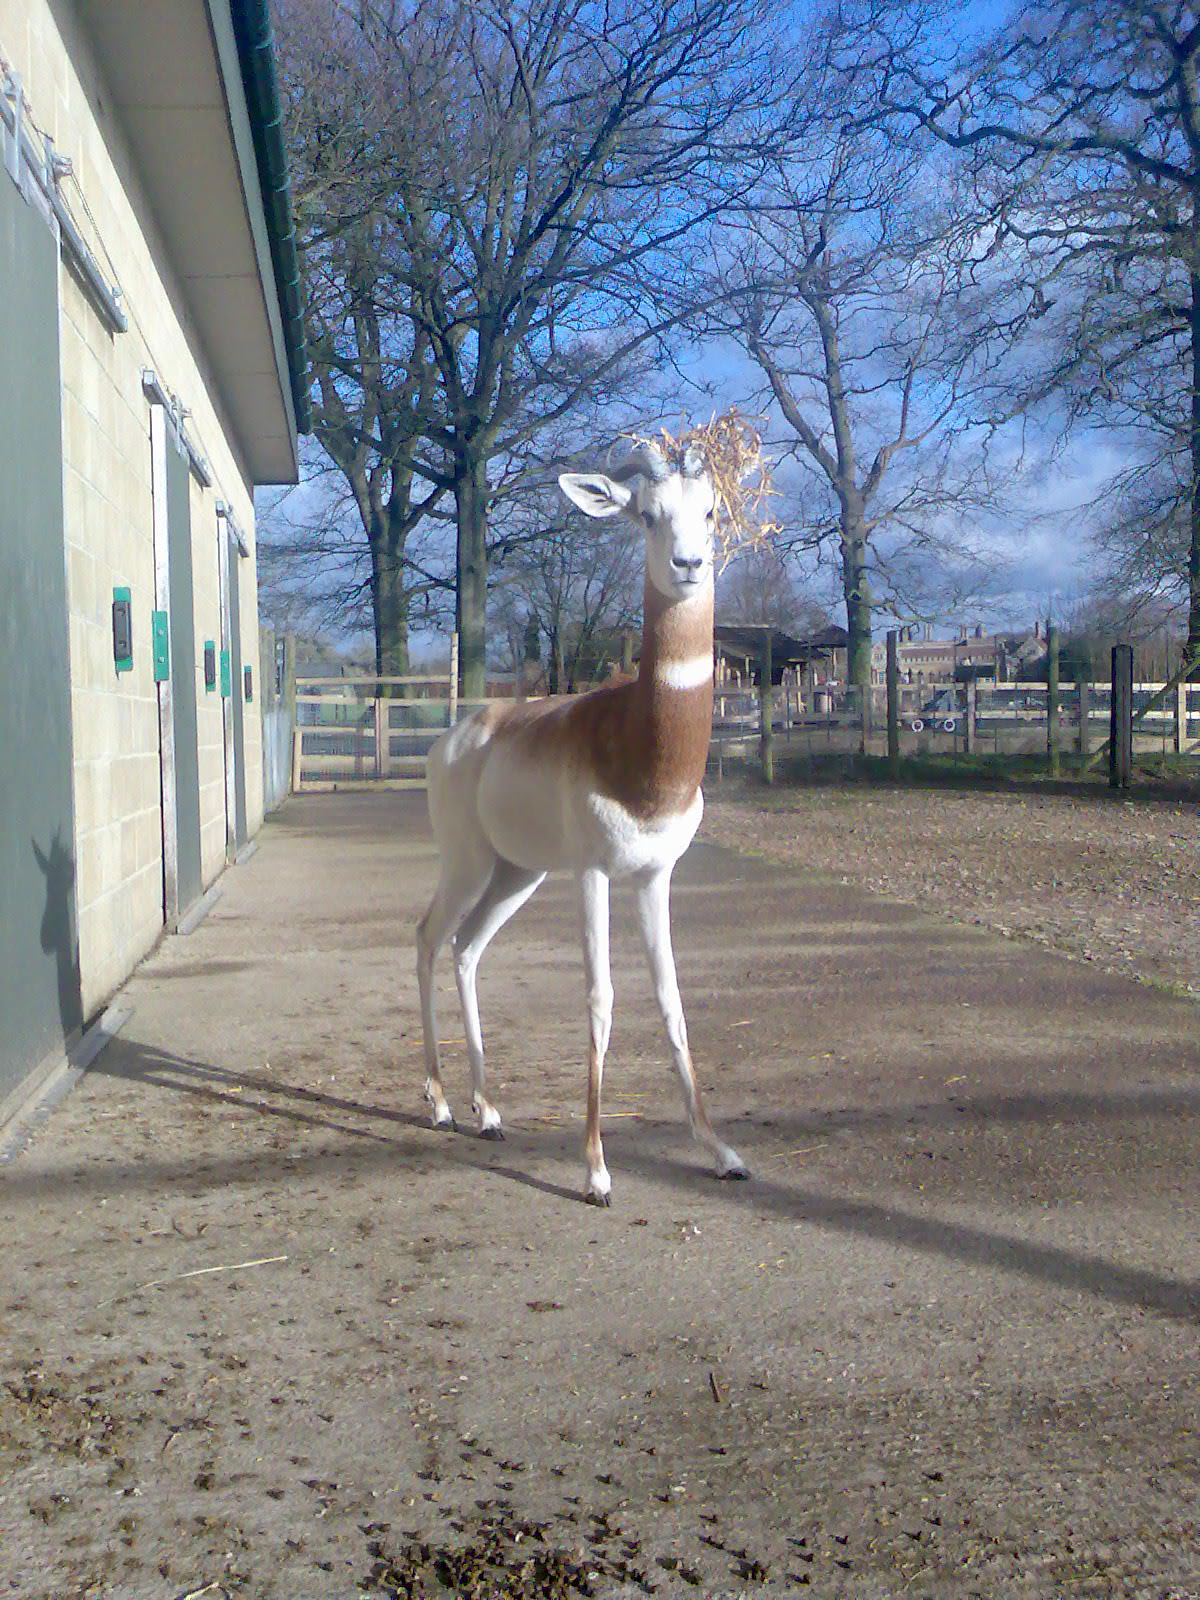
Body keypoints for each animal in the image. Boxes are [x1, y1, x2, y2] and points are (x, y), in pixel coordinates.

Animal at [415, 441, 748, 1205]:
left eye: (711, 512)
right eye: (647, 515)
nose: (689, 564)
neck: (642, 753)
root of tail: (454, 737)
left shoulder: (655, 875)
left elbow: (670, 1000)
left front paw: (719, 1150)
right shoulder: (594, 873)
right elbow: (600, 998)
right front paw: (596, 1169)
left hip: (518, 874)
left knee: (467, 949)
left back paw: (488, 1111)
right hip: (467, 864)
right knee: (426, 939)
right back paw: (442, 1104)